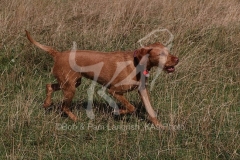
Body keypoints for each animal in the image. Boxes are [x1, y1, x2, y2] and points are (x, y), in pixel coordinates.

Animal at [25, 30, 178, 128]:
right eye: (161, 54)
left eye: (169, 52)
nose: (177, 59)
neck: (137, 63)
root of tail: (58, 54)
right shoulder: (113, 91)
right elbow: (131, 107)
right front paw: (118, 112)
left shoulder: (142, 90)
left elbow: (150, 110)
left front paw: (160, 126)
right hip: (70, 88)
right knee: (64, 107)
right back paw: (76, 119)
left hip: (71, 83)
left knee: (49, 86)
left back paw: (47, 103)